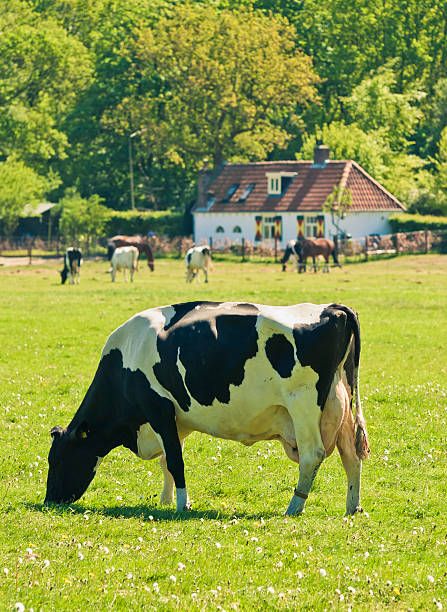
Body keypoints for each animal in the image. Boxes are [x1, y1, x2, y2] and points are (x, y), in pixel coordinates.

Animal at [44, 302, 372, 516]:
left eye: (58, 460)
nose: (50, 501)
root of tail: (332, 308)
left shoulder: (159, 409)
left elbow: (176, 461)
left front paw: (182, 504)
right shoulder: (175, 420)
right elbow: (167, 461)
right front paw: (166, 500)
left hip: (303, 403)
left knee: (312, 455)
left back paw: (294, 506)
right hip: (340, 404)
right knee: (351, 455)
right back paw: (352, 506)